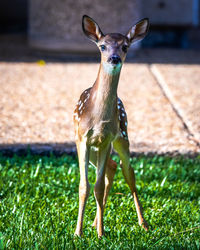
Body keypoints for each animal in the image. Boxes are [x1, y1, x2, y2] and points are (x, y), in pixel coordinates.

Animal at [73, 14, 148, 237]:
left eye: (125, 46)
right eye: (103, 46)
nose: (114, 58)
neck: (98, 118)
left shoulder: (107, 139)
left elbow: (96, 186)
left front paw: (100, 234)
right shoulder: (82, 139)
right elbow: (84, 186)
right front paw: (78, 233)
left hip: (123, 136)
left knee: (127, 171)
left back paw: (143, 223)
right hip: (92, 148)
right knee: (112, 167)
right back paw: (93, 222)